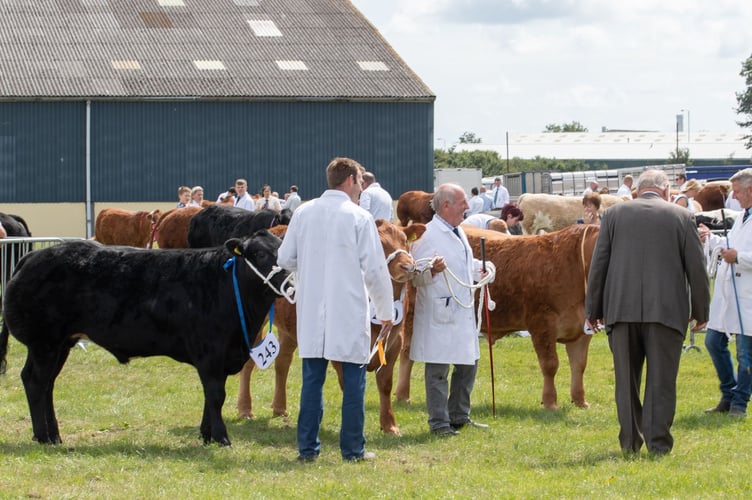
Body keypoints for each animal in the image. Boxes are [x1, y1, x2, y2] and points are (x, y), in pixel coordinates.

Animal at [0, 232, 288, 448]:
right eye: (261, 254)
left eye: (283, 248)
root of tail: (33, 255)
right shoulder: (210, 352)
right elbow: (216, 395)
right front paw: (221, 437)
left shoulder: (221, 355)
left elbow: (210, 396)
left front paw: (206, 435)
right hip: (44, 342)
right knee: (36, 382)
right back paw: (44, 437)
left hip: (60, 344)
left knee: (46, 383)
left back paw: (54, 435)